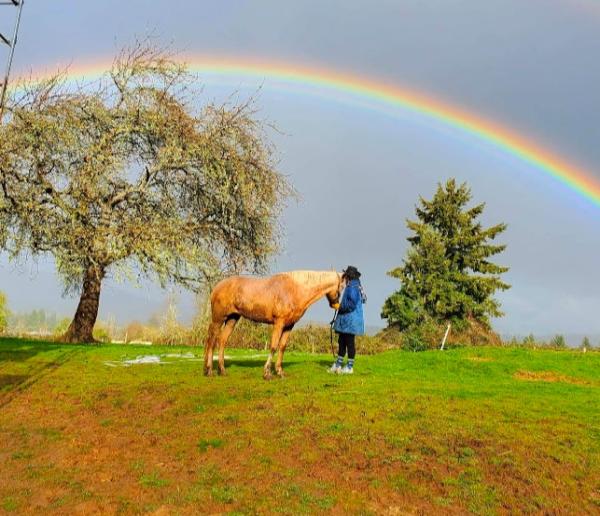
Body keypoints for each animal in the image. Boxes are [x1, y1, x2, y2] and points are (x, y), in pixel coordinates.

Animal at [203, 270, 342, 378]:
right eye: (341, 287)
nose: (336, 305)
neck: (295, 290)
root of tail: (217, 287)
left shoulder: (289, 326)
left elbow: (282, 347)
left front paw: (280, 372)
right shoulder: (279, 323)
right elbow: (274, 346)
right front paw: (267, 373)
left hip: (232, 319)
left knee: (222, 341)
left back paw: (222, 371)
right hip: (218, 319)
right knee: (211, 340)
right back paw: (209, 370)